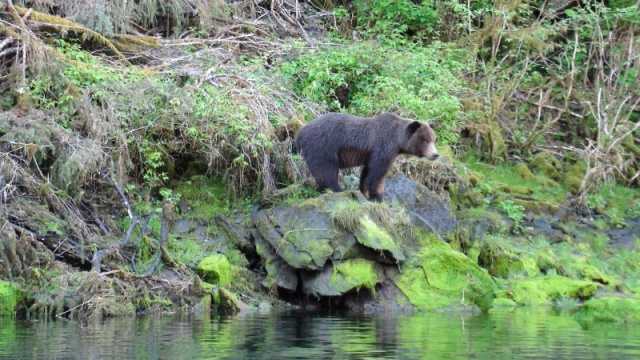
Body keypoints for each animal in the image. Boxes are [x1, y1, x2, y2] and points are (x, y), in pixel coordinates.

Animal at [296, 112, 440, 201]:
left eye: (433, 139)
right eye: (425, 140)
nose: (435, 154)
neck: (398, 142)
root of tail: (300, 133)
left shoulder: (371, 155)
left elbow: (367, 173)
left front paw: (365, 193)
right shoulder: (383, 147)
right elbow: (378, 173)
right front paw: (379, 197)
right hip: (323, 146)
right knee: (326, 171)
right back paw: (337, 190)